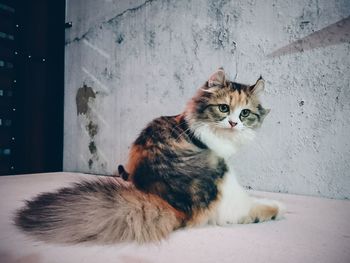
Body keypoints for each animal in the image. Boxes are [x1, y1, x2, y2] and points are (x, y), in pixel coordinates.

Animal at [15, 68, 286, 245]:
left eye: (245, 113)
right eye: (223, 108)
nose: (233, 123)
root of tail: (175, 205)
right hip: (223, 174)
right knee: (241, 211)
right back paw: (276, 207)